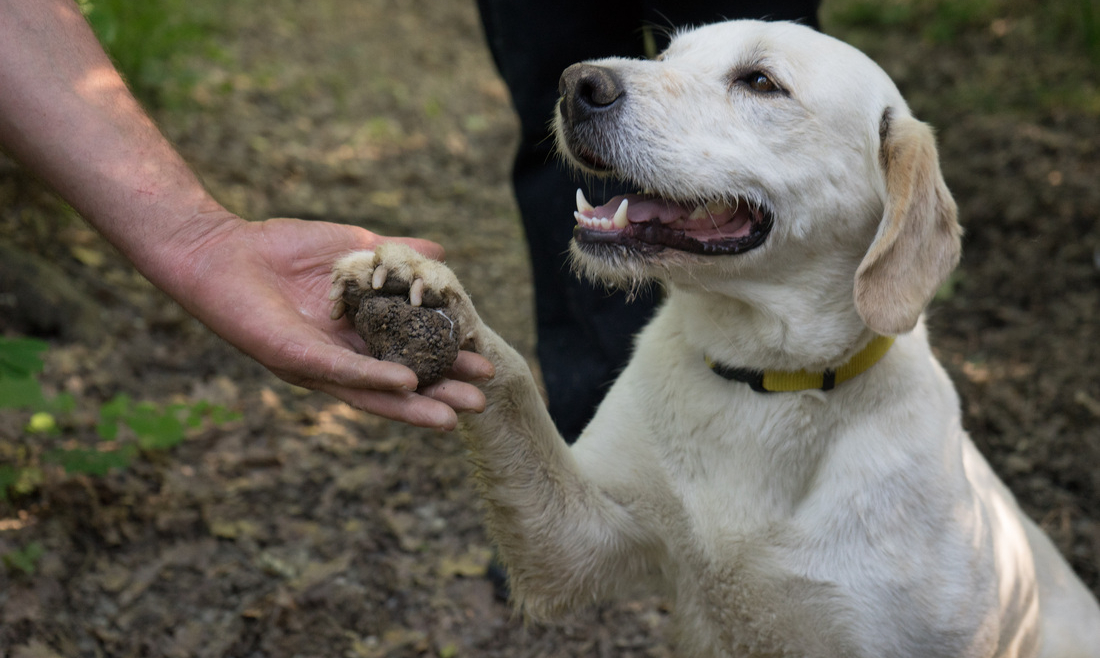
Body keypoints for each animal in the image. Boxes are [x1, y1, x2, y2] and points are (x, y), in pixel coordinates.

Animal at [334, 20, 1100, 658]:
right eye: (668, 55)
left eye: (760, 82)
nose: (577, 83)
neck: (764, 382)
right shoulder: (580, 542)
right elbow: (513, 379)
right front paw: (420, 284)